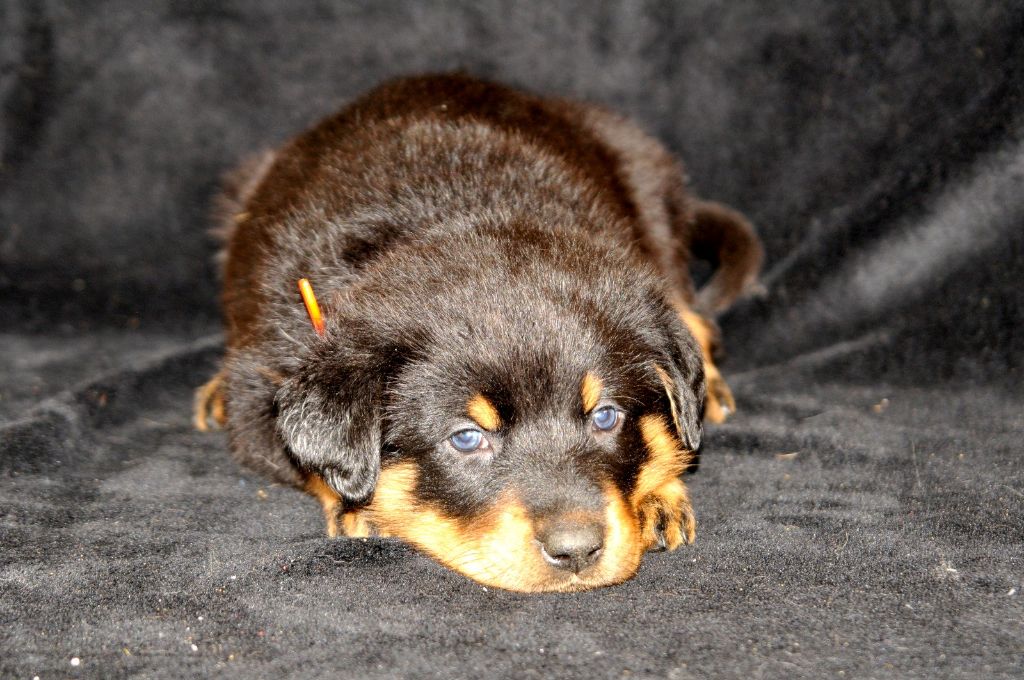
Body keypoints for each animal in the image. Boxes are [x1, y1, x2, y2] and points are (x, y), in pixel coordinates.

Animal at [194, 74, 762, 592]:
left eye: (606, 417)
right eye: (466, 438)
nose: (576, 551)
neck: (456, 216)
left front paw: (658, 493)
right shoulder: (263, 380)